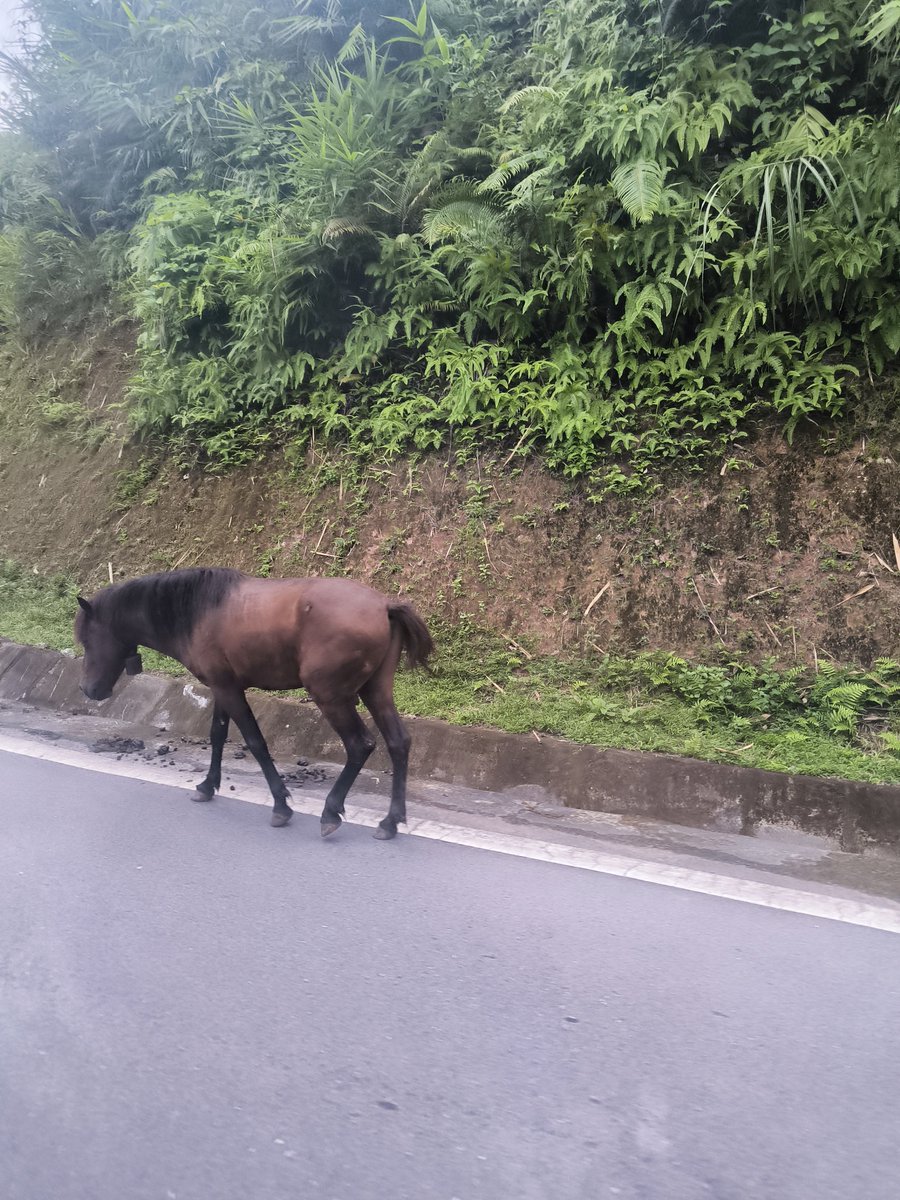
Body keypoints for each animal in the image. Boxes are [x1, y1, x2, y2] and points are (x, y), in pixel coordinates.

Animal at [74, 567, 434, 839]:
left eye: (88, 639)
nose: (87, 689)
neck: (197, 610)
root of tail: (384, 606)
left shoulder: (229, 690)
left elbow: (255, 741)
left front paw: (281, 805)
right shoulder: (223, 687)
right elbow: (217, 735)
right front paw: (207, 786)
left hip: (331, 696)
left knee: (360, 744)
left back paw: (331, 811)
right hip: (376, 691)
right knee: (398, 742)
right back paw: (390, 821)